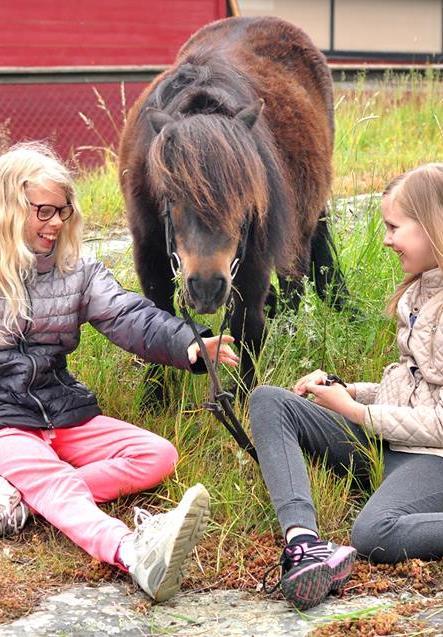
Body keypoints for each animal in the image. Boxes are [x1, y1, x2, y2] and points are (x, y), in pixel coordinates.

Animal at [120, 14, 346, 390]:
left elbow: (247, 327)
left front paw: (243, 398)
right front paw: (155, 394)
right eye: (171, 195)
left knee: (294, 286)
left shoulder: (253, 258)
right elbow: (156, 318)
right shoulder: (149, 251)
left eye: (246, 196)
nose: (207, 287)